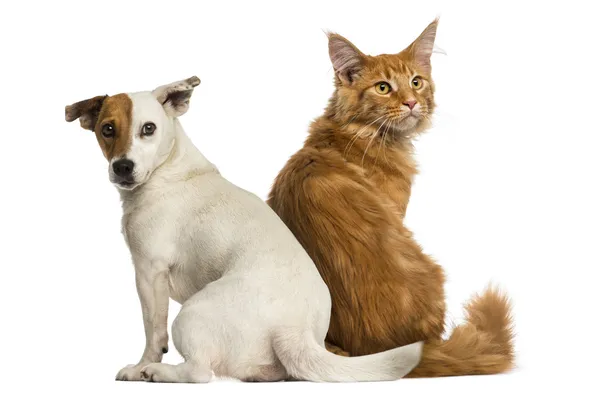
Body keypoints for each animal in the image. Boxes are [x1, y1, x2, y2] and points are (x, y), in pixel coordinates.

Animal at [64, 76, 422, 384]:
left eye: (148, 129)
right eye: (107, 129)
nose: (122, 167)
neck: (168, 170)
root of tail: (293, 330)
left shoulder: (149, 272)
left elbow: (153, 331)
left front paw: (141, 366)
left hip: (191, 314)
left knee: (199, 372)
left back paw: (158, 372)